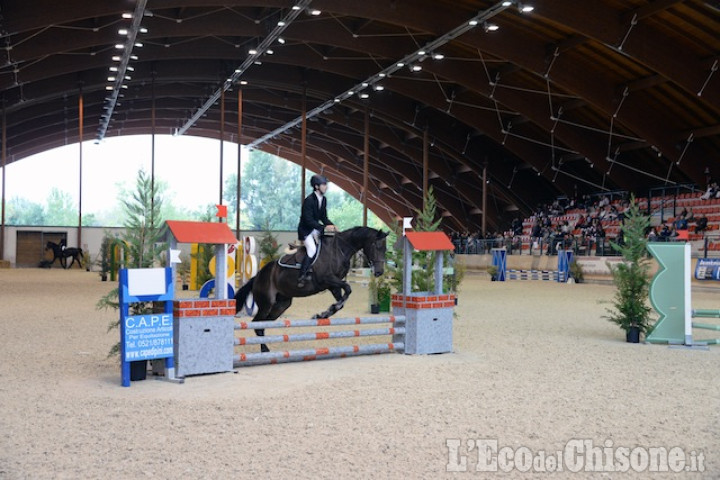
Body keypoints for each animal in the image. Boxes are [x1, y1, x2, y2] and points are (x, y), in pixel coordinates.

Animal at [235, 225, 388, 352]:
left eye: (385, 249)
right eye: (376, 246)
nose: (379, 272)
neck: (339, 250)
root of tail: (258, 276)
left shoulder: (333, 285)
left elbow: (343, 299)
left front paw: (324, 313)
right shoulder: (327, 279)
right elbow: (348, 288)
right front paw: (325, 312)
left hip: (282, 304)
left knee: (263, 324)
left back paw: (265, 347)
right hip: (266, 303)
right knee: (257, 324)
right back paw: (264, 349)